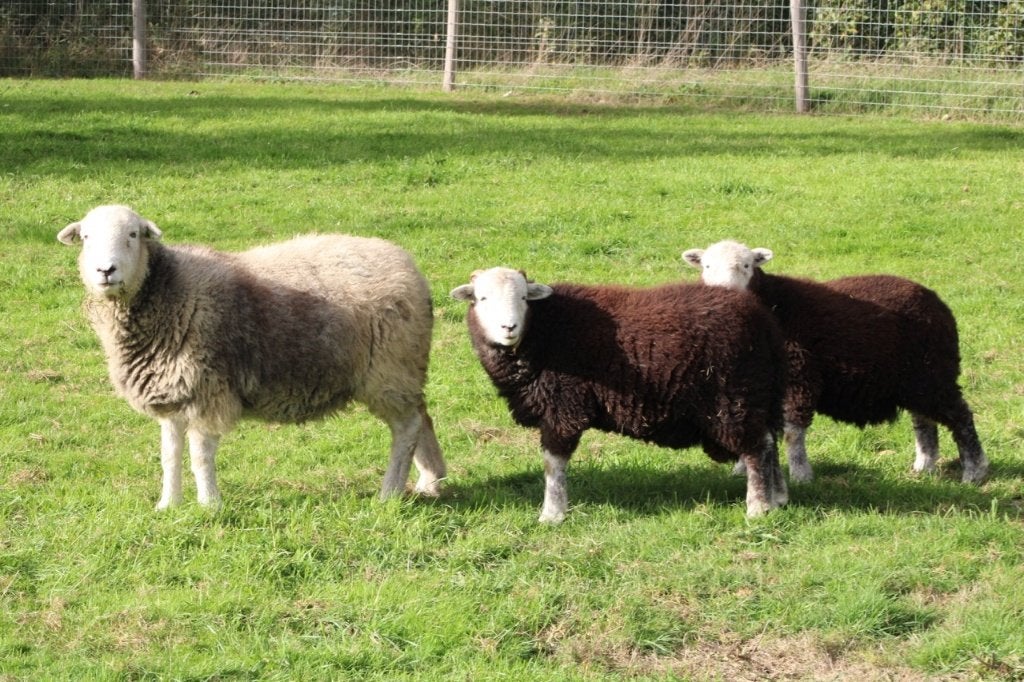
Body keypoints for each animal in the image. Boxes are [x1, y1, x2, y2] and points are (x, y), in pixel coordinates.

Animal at [58, 204, 447, 508]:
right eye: (86, 237)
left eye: (134, 234)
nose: (106, 271)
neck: (170, 292)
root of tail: (410, 268)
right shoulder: (173, 392)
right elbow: (169, 456)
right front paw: (168, 505)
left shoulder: (207, 391)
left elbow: (200, 455)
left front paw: (209, 506)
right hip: (404, 370)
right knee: (422, 418)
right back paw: (431, 481)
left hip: (390, 369)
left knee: (406, 428)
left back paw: (390, 492)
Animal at [450, 267, 789, 522]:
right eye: (482, 298)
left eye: (523, 297)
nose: (508, 327)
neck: (541, 331)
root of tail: (764, 322)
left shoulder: (563, 406)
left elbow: (553, 464)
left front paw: (552, 514)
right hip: (758, 395)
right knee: (769, 441)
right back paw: (779, 498)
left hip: (733, 398)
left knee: (756, 448)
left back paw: (758, 507)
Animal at [683, 240, 988, 484]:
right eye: (707, 266)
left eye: (746, 265)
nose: (724, 292)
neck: (773, 303)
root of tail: (936, 301)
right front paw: (742, 469)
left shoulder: (800, 374)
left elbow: (793, 433)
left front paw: (801, 476)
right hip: (914, 379)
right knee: (924, 420)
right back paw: (924, 467)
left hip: (934, 372)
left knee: (960, 417)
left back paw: (974, 472)